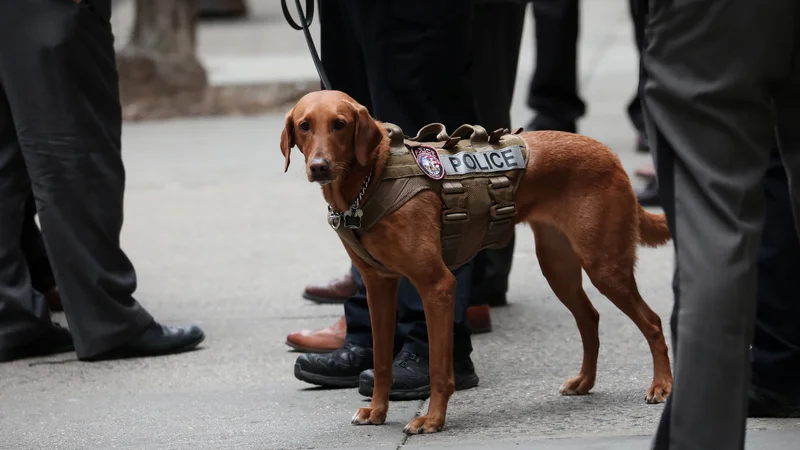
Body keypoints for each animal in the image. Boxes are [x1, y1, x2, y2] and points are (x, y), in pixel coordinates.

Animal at [278, 90, 672, 432]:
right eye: (305, 125)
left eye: (340, 124)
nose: (319, 167)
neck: (372, 179)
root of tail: (609, 155)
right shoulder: (379, 286)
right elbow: (382, 360)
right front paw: (377, 410)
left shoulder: (437, 286)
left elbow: (439, 368)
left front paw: (432, 420)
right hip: (558, 267)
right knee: (590, 318)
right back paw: (585, 381)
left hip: (605, 266)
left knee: (652, 321)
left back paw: (662, 385)